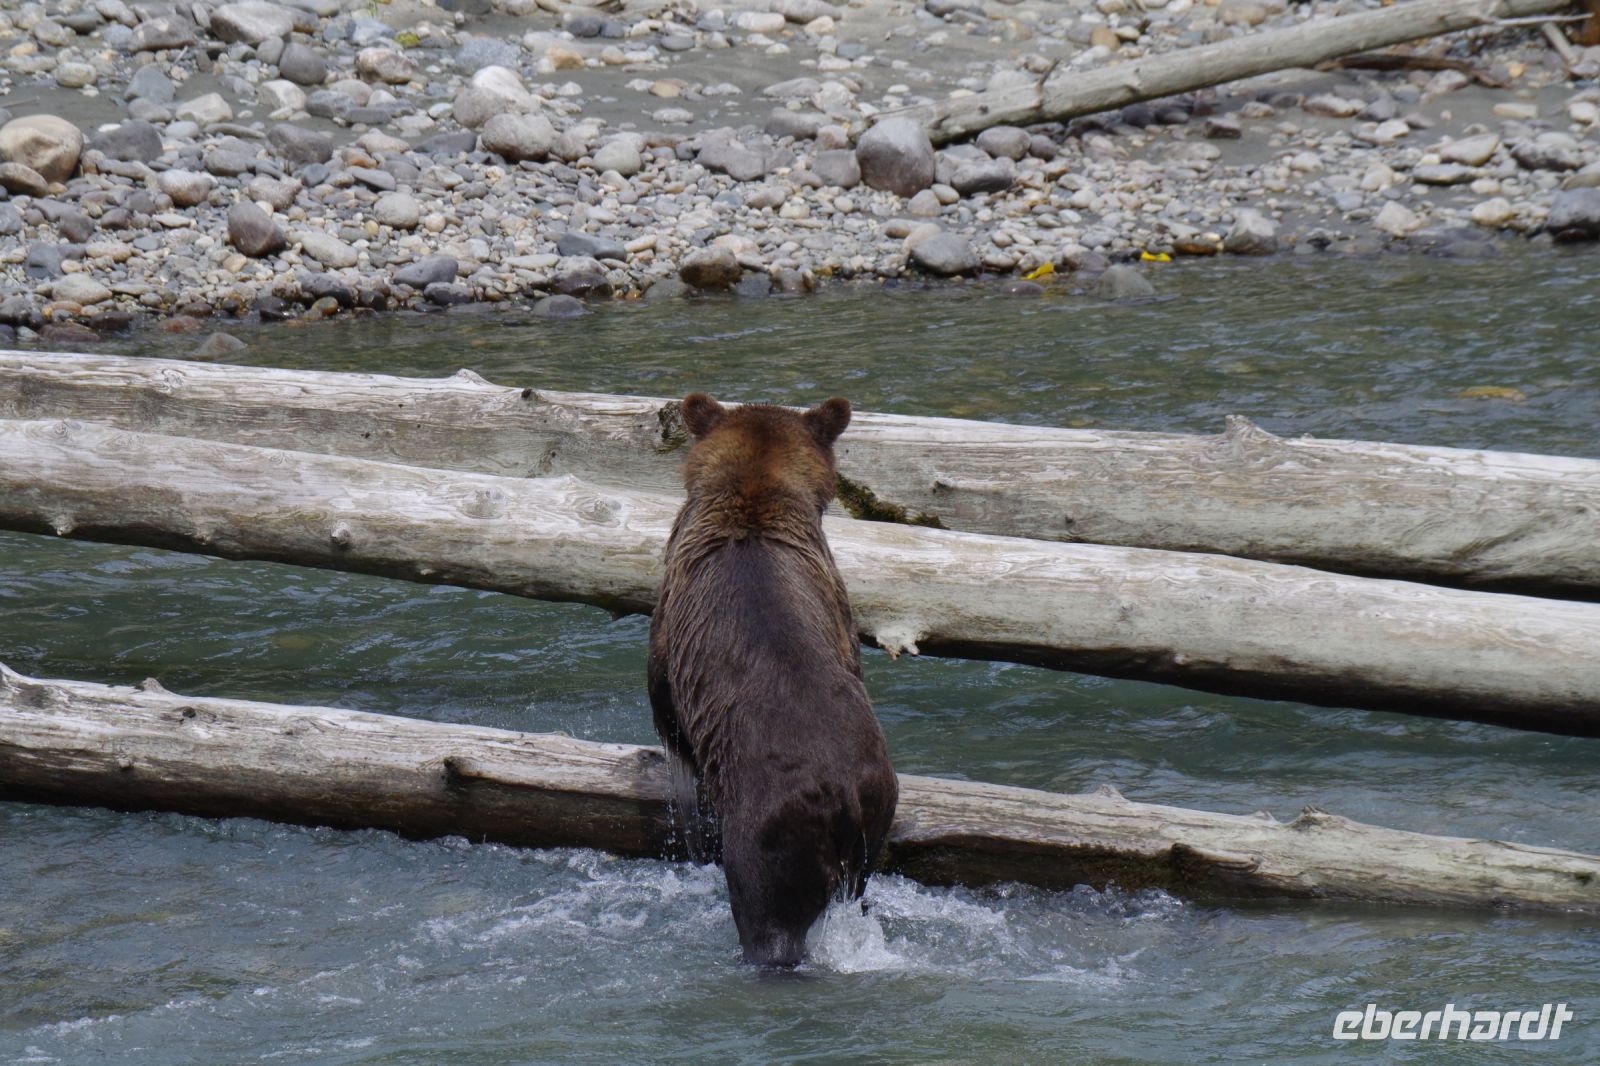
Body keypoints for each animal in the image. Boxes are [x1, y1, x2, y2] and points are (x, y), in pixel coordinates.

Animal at [647, 392, 899, 968]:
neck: (753, 498)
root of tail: (844, 797)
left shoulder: (670, 615)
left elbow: (663, 703)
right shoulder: (839, 609)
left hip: (769, 829)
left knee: (767, 912)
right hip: (877, 812)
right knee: (862, 889)